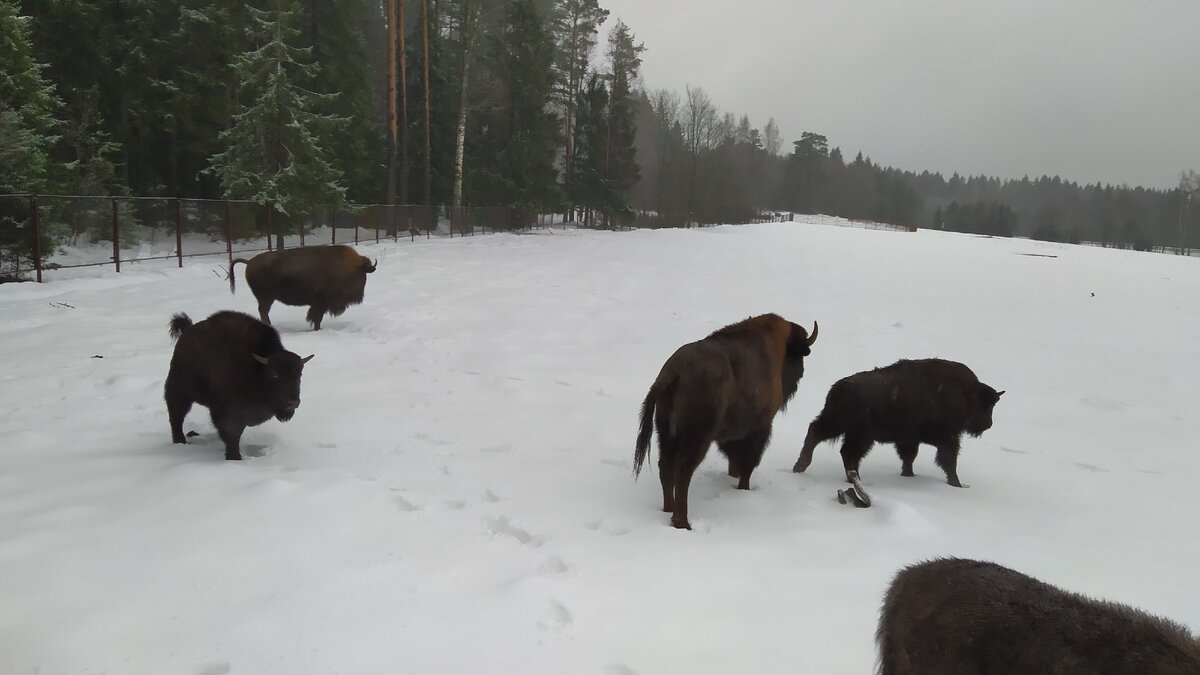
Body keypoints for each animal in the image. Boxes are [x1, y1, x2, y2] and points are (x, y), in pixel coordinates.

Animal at [164, 309, 314, 456]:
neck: (257, 368)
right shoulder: (227, 413)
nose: (293, 403)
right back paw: (180, 441)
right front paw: (234, 457)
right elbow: (232, 435)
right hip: (180, 392)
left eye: (299, 374)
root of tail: (186, 331)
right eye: (275, 375)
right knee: (176, 415)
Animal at [225, 246, 372, 331]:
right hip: (266, 298)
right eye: (363, 274)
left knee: (263, 311)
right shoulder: (320, 303)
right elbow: (316, 317)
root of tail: (249, 262)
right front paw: (317, 329)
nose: (359, 297)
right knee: (263, 311)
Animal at [633, 312, 820, 528]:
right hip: (697, 439)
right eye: (799, 357)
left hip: (666, 434)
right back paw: (683, 522)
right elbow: (748, 463)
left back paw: (668, 509)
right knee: (683, 471)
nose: (800, 375)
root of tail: (674, 372)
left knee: (665, 467)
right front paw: (743, 489)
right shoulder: (759, 429)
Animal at [792, 355, 998, 485]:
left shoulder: (910, 439)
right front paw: (957, 483)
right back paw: (853, 478)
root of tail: (840, 388)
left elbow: (909, 457)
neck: (965, 394)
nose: (988, 424)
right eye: (986, 405)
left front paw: (909, 475)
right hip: (858, 434)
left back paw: (801, 467)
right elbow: (948, 461)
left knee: (820, 435)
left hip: (839, 426)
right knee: (846, 451)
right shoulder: (948, 439)